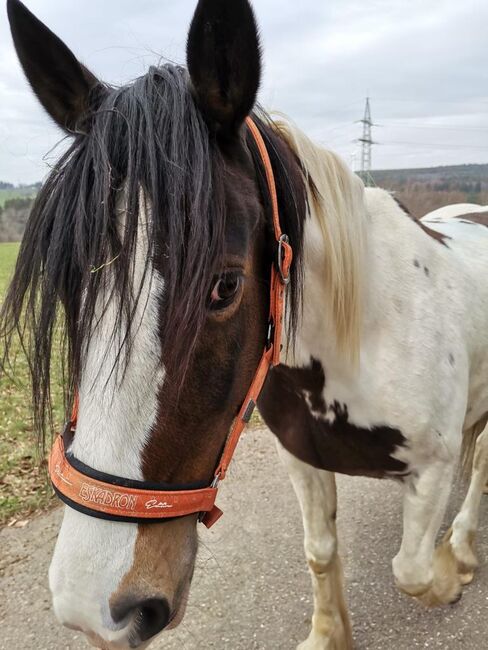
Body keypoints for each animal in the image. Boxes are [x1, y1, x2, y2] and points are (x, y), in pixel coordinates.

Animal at [3, 1, 488, 648]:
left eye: (225, 286)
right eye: (68, 282)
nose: (91, 606)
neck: (367, 335)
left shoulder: (430, 471)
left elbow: (411, 570)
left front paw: (448, 573)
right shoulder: (302, 459)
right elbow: (320, 551)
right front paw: (328, 634)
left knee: (478, 469)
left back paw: (462, 548)